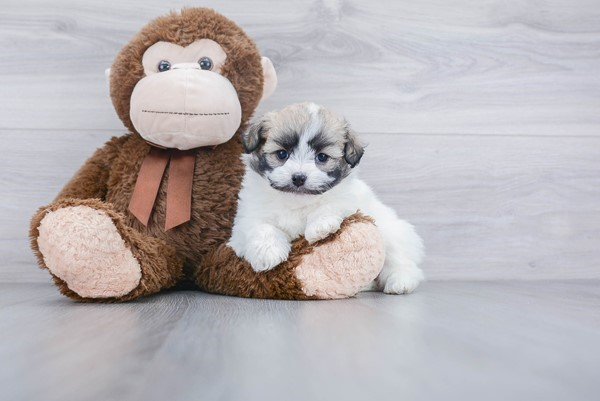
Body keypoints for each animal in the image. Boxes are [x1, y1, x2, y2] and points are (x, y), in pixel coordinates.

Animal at [227, 101, 424, 292]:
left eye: (322, 157)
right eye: (282, 154)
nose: (299, 177)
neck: (296, 201)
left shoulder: (349, 199)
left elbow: (331, 203)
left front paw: (321, 226)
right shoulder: (248, 216)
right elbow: (261, 227)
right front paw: (268, 253)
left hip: (392, 234)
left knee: (402, 262)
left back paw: (400, 282)